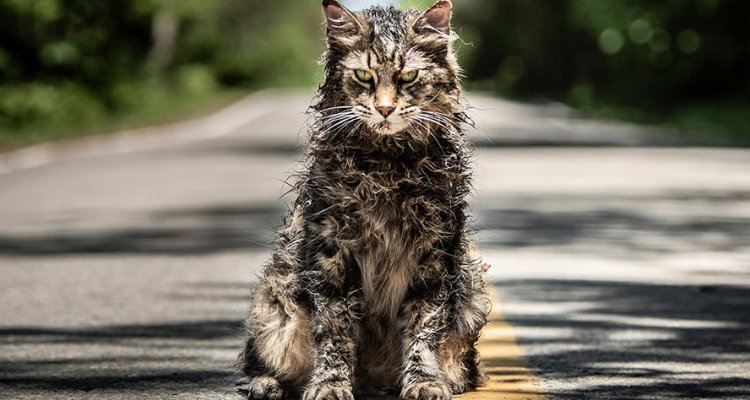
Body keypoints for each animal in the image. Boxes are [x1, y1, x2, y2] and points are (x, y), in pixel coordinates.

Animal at [238, 1, 490, 398]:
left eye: (408, 78)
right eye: (363, 76)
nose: (385, 109)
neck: (387, 166)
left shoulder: (433, 253)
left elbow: (424, 327)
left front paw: (424, 380)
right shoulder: (332, 252)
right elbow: (335, 330)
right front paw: (330, 384)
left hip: (473, 291)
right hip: (273, 301)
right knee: (259, 362)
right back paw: (267, 384)